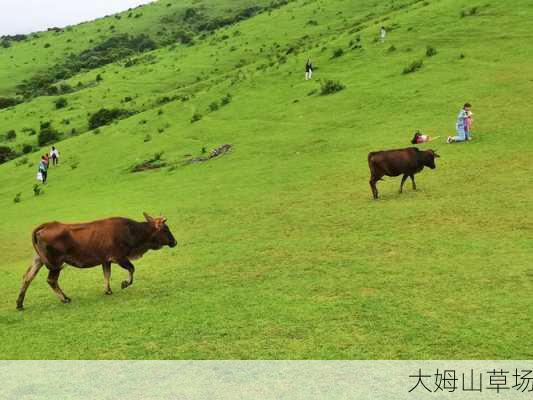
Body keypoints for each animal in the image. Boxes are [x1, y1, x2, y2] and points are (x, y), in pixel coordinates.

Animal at [16, 212, 177, 310]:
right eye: (166, 229)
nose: (174, 242)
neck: (132, 232)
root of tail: (47, 224)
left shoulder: (105, 260)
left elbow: (107, 275)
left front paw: (108, 290)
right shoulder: (119, 257)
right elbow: (132, 269)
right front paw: (125, 283)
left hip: (39, 260)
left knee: (27, 278)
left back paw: (19, 304)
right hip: (55, 264)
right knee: (51, 280)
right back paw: (65, 299)